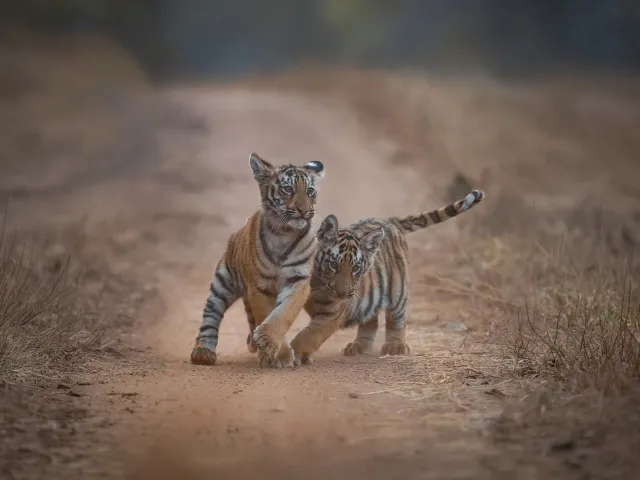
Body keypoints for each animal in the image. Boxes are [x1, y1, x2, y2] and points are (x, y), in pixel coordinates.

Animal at [190, 152, 325, 368]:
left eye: (310, 191)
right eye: (288, 189)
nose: (304, 210)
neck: (284, 233)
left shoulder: (299, 282)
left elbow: (284, 313)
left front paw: (269, 344)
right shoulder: (259, 287)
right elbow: (266, 312)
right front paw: (277, 354)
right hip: (223, 282)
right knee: (211, 315)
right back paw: (203, 352)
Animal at [288, 189, 485, 365]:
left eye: (355, 268)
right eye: (334, 265)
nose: (343, 294)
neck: (319, 283)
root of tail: (387, 221)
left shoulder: (333, 312)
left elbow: (310, 334)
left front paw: (296, 353)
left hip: (398, 293)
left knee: (395, 320)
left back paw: (395, 346)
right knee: (370, 320)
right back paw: (359, 346)